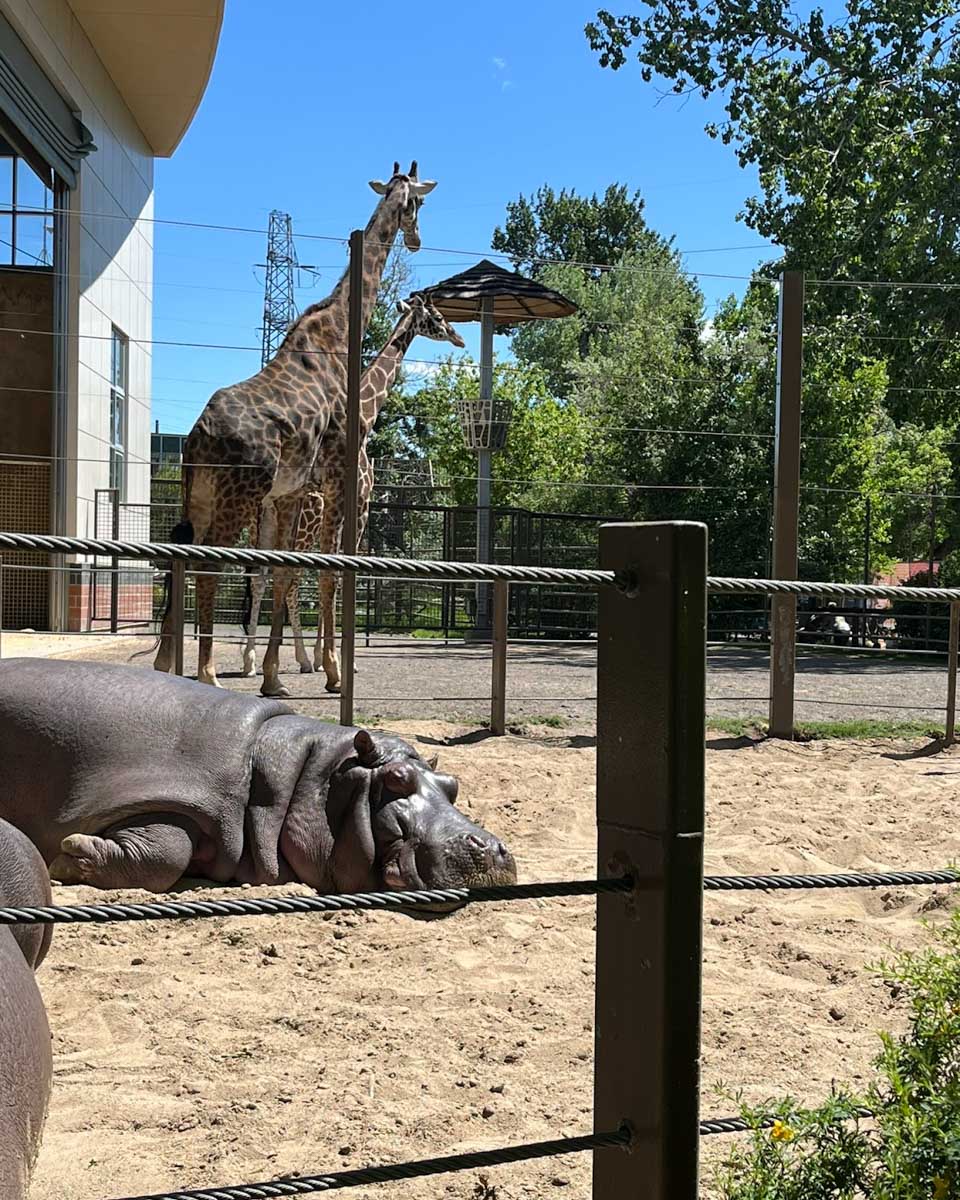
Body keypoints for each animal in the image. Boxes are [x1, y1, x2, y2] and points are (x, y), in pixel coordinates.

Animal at [152, 163, 437, 697]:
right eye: (419, 202)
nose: (415, 240)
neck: (339, 333)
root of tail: (198, 435)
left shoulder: (292, 490)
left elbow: (286, 573)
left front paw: (273, 678)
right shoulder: (334, 478)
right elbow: (326, 573)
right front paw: (331, 672)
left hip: (198, 495)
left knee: (185, 559)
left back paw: (166, 665)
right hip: (238, 496)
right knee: (210, 565)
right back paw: (207, 674)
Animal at [240, 293, 465, 685]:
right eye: (437, 317)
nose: (459, 337)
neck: (365, 413)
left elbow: (330, 572)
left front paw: (326, 658)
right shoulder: (359, 502)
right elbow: (344, 573)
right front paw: (339, 663)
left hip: (263, 516)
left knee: (261, 577)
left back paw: (252, 662)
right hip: (301, 519)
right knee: (289, 579)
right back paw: (292, 661)